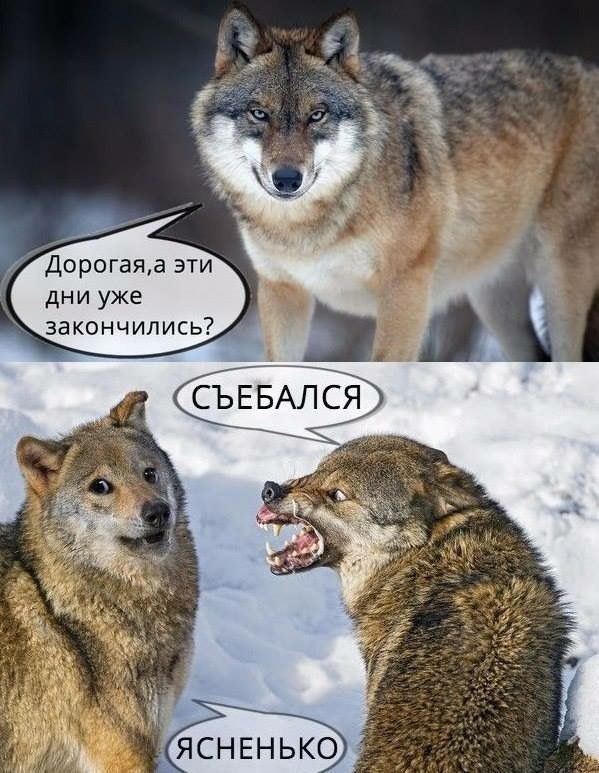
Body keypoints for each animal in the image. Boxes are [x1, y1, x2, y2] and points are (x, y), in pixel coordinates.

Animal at [191, 3, 599, 362]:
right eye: (259, 114)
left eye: (317, 115)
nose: (288, 179)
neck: (306, 229)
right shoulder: (282, 289)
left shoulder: (405, 285)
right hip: (493, 300)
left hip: (557, 275)